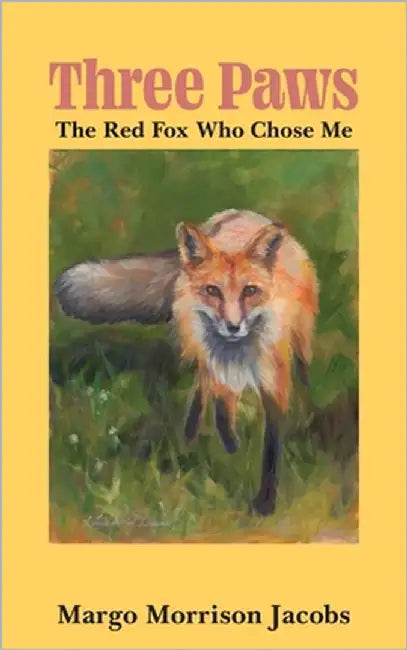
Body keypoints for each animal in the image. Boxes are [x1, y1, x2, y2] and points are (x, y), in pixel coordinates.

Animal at [54, 209, 318, 516]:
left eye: (250, 291)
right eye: (213, 290)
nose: (232, 326)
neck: (238, 353)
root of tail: (238, 213)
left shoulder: (274, 383)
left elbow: (272, 446)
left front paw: (265, 502)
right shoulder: (217, 367)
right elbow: (221, 412)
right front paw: (229, 447)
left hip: (299, 338)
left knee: (301, 361)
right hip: (197, 346)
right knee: (202, 389)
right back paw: (191, 434)